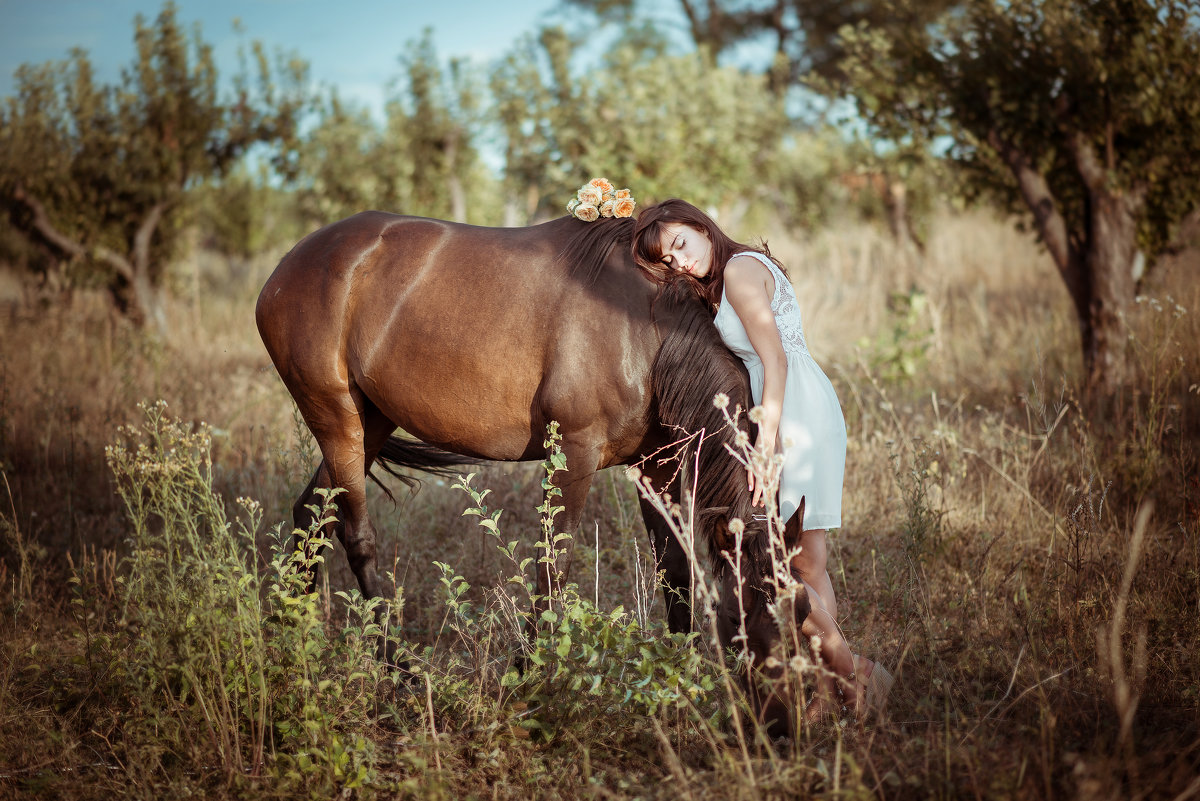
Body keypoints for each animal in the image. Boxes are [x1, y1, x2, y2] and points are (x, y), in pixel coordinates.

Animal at [256, 211, 811, 733]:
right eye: (742, 616)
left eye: (802, 613)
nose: (784, 725)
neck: (645, 331)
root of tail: (289, 265)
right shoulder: (574, 453)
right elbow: (552, 566)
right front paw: (528, 676)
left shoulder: (657, 467)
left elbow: (674, 571)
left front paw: (682, 678)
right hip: (336, 419)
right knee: (356, 535)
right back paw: (401, 670)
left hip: (369, 421)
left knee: (311, 514)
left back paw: (292, 635)